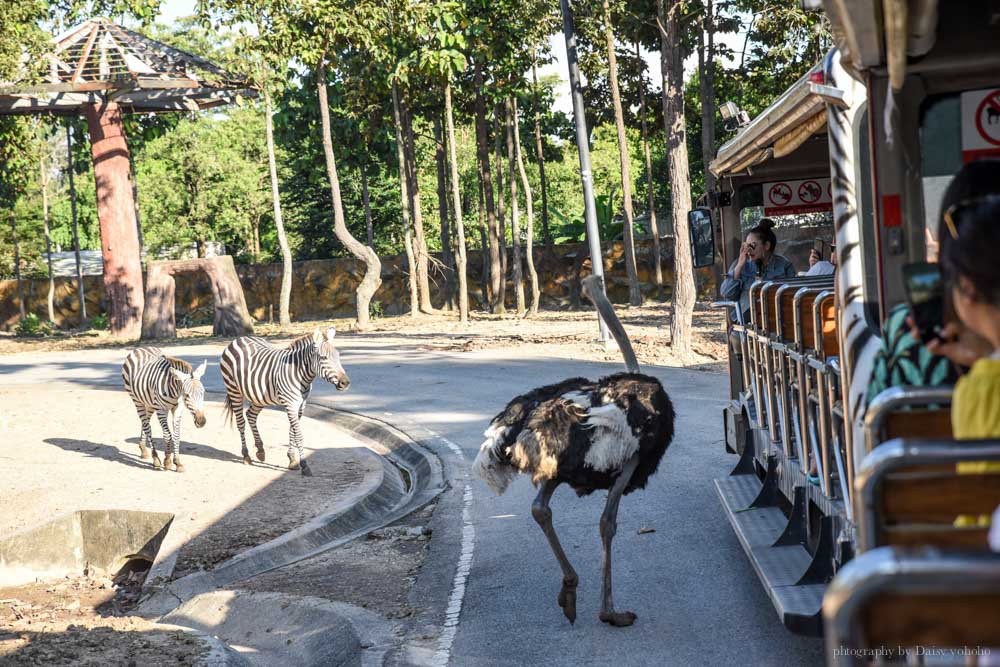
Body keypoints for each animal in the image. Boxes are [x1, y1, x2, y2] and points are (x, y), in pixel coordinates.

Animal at [220, 328, 352, 474]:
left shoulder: (301, 405)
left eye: (338, 357)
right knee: (241, 422)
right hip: (233, 390)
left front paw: (292, 459)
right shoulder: (290, 404)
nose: (345, 383)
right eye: (324, 358)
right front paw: (304, 464)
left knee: (251, 415)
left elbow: (292, 430)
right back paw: (246, 455)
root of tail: (238, 339)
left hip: (260, 397)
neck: (301, 375)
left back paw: (260, 450)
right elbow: (298, 434)